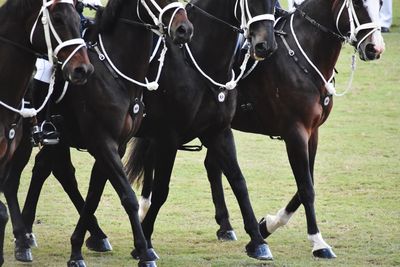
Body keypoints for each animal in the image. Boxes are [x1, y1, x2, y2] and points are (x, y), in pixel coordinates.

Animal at [120, 0, 278, 262]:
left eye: (274, 4)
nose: (265, 46)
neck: (201, 64)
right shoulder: (168, 139)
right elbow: (162, 190)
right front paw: (145, 242)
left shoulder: (219, 132)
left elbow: (238, 181)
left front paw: (257, 241)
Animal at [137, 0, 384, 262]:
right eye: (357, 4)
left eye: (379, 4)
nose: (375, 48)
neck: (302, 54)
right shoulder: (295, 132)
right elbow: (306, 187)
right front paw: (318, 242)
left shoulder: (312, 133)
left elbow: (306, 184)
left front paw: (267, 225)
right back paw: (144, 209)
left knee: (210, 166)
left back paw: (225, 227)